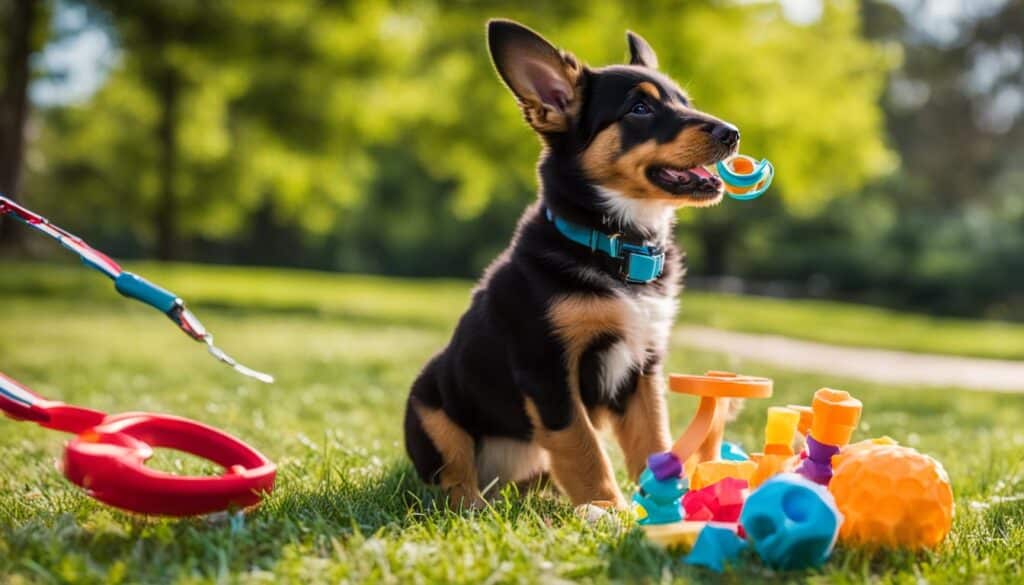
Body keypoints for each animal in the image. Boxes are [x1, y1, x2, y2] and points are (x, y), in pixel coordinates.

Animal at [403, 20, 741, 510]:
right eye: (640, 108)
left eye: (685, 102)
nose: (733, 133)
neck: (619, 246)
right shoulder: (547, 368)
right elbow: (582, 446)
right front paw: (606, 508)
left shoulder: (644, 367)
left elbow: (653, 440)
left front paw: (664, 504)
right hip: (429, 405)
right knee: (455, 477)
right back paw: (474, 506)